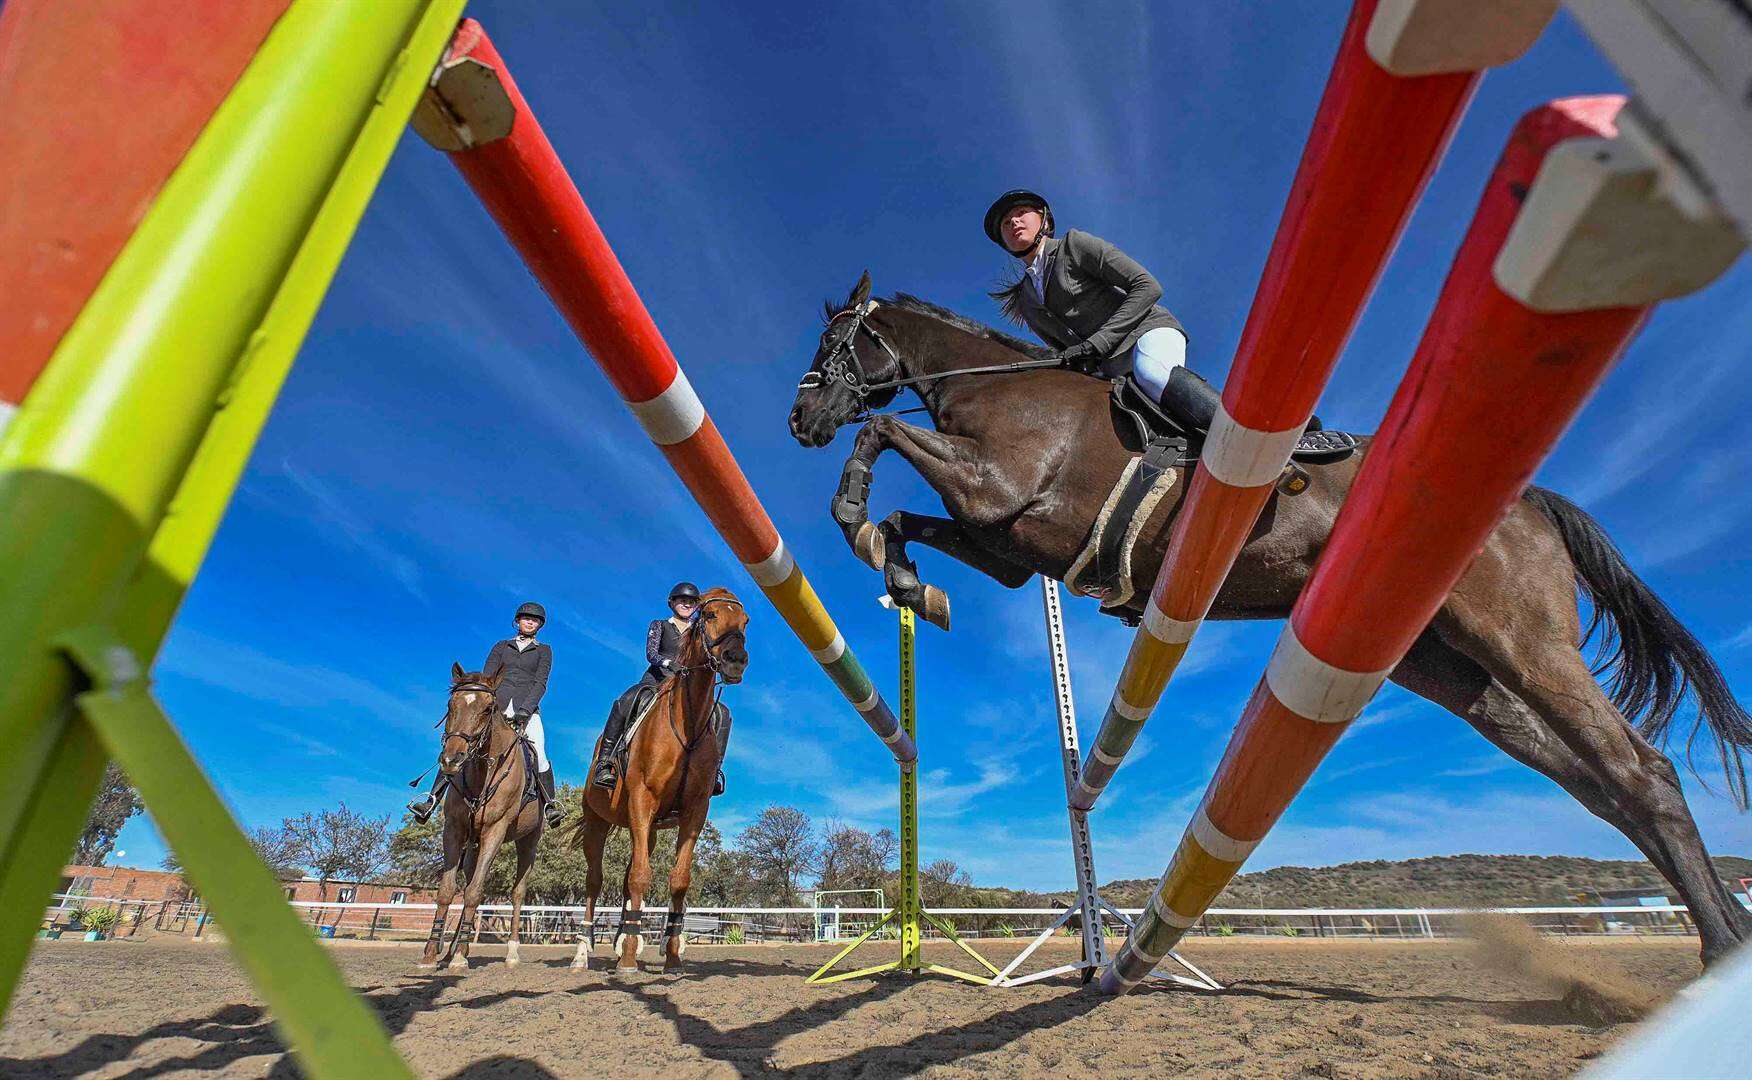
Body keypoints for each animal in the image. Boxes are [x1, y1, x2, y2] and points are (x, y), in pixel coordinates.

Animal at [415, 662, 539, 974]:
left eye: (487, 708)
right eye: (450, 705)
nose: (452, 760)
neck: (482, 772)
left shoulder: (496, 830)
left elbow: (474, 892)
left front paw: (459, 957)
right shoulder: (454, 829)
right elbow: (448, 890)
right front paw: (432, 952)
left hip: (527, 842)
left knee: (517, 892)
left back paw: (511, 953)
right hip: (474, 843)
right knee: (471, 876)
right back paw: (454, 947)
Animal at [567, 585, 746, 974]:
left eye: (744, 621)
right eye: (710, 615)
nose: (736, 660)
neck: (688, 722)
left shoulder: (694, 811)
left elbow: (678, 880)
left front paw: (673, 956)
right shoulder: (641, 799)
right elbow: (640, 877)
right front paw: (628, 962)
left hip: (646, 830)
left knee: (623, 881)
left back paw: (623, 940)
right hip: (597, 821)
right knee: (594, 881)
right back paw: (583, 952)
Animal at [788, 273, 1752, 967]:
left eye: (837, 342)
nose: (799, 418)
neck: (994, 389)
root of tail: (1531, 502)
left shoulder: (1000, 489)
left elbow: (880, 439)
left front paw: (855, 514)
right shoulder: (1008, 543)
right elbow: (910, 520)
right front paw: (909, 580)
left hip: (1521, 637)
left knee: (1642, 771)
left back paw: (1717, 947)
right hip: (1453, 669)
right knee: (1601, 785)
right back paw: (1718, 941)